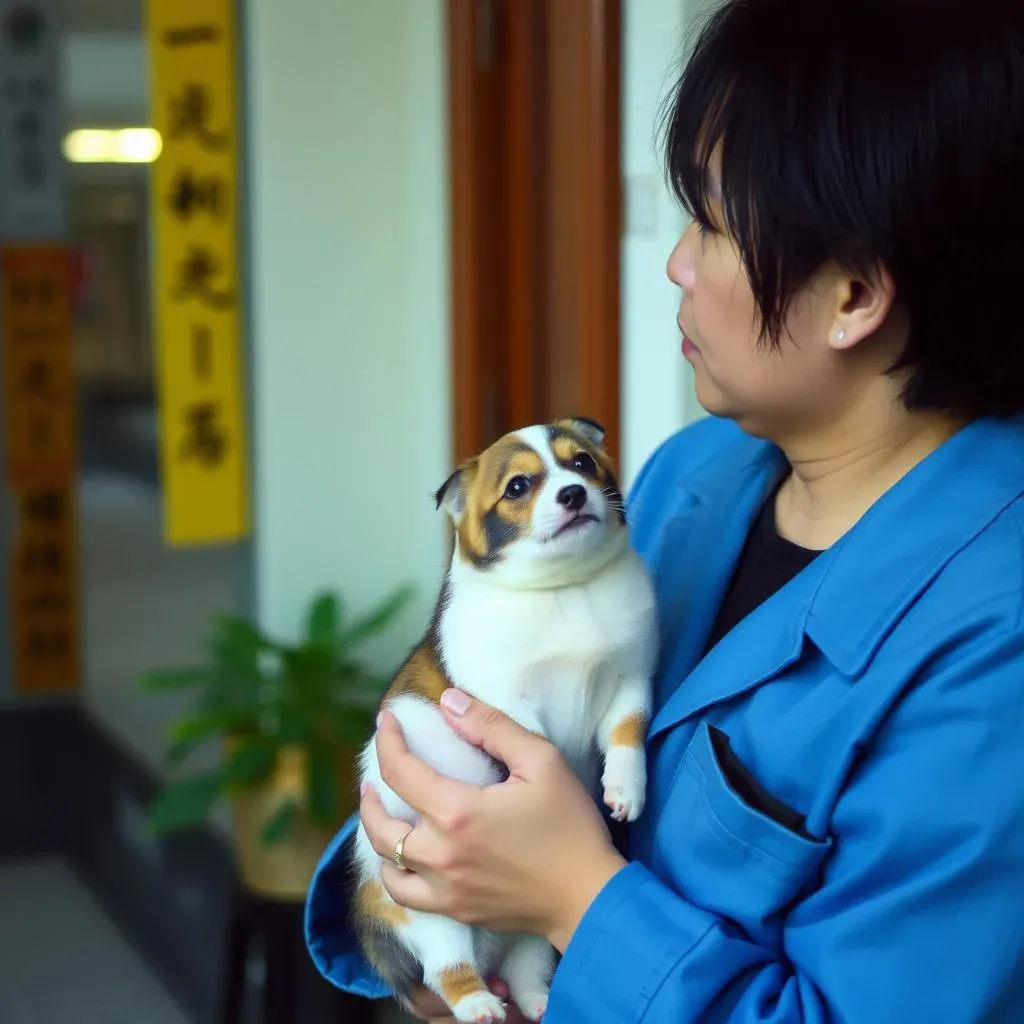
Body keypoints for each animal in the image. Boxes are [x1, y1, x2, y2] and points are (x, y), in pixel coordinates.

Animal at [352, 417, 655, 1024]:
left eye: (583, 463)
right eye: (518, 486)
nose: (573, 493)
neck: (564, 586)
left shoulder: (629, 679)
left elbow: (626, 732)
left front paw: (624, 788)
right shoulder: (506, 702)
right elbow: (540, 742)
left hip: (530, 932)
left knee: (526, 964)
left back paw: (539, 1000)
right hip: (427, 916)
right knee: (448, 968)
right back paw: (477, 1002)